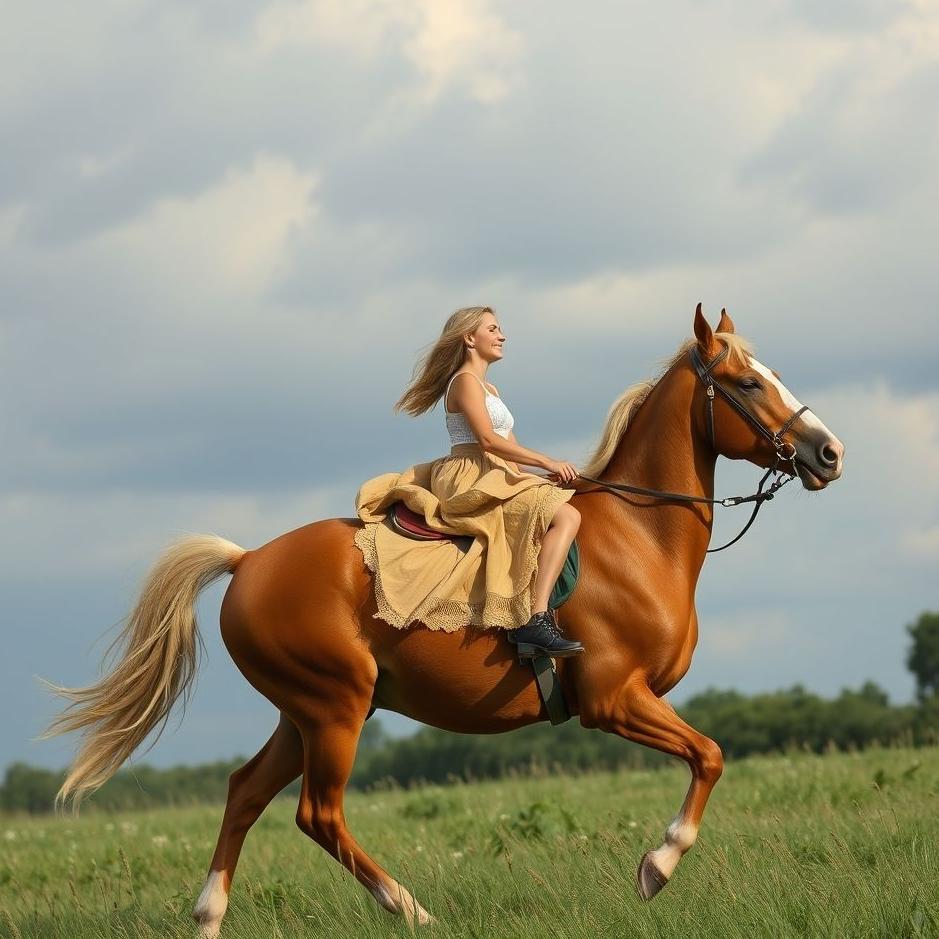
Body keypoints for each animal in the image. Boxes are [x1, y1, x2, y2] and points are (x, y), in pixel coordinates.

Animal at [44, 305, 844, 936]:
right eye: (748, 384)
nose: (828, 452)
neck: (638, 535)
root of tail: (246, 561)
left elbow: (707, 756)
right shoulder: (613, 698)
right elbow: (709, 754)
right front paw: (657, 865)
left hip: (308, 712)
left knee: (244, 791)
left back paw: (211, 918)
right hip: (333, 708)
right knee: (318, 814)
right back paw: (413, 909)